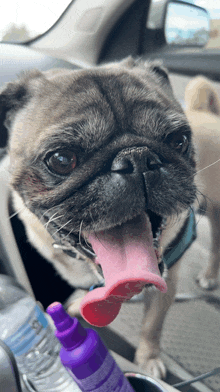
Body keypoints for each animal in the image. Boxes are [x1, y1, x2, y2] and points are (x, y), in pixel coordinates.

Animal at [0, 57, 196, 376]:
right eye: (62, 160)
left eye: (178, 140)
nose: (137, 157)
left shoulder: (168, 283)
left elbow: (152, 325)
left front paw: (148, 358)